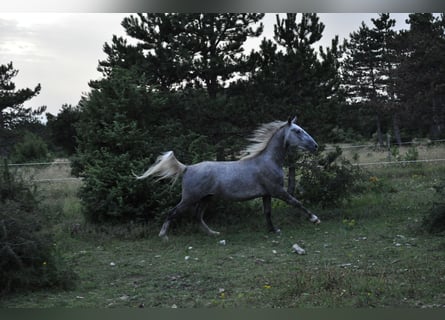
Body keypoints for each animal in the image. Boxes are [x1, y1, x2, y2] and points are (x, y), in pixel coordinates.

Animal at [135, 115, 320, 240]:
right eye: (297, 131)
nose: (315, 146)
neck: (269, 161)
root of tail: (187, 168)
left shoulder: (266, 194)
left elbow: (267, 212)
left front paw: (273, 230)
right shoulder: (277, 191)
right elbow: (296, 202)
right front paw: (315, 219)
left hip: (206, 198)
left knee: (197, 216)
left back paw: (213, 233)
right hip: (190, 198)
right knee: (173, 212)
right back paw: (164, 236)